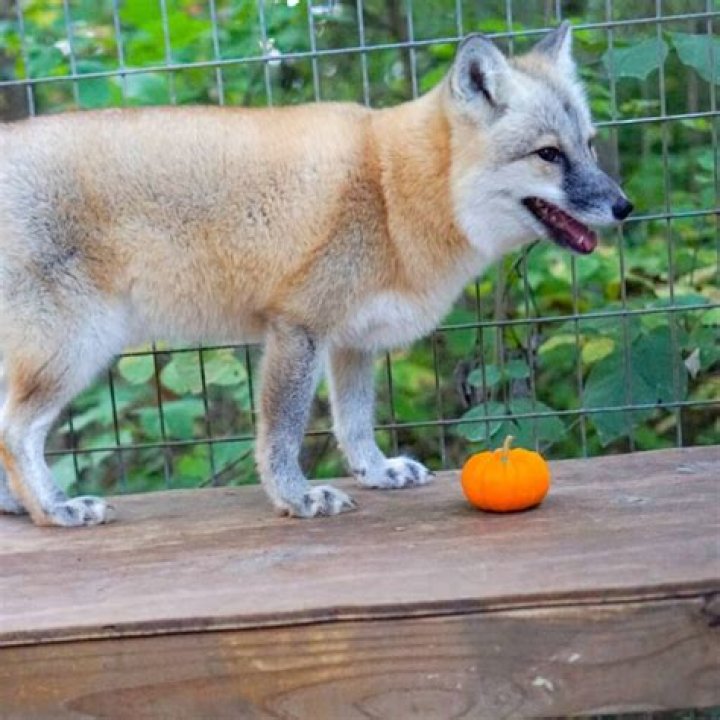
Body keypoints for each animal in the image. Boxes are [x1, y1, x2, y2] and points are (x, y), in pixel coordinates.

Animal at [0, 22, 632, 527]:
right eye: (548, 155)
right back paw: (53, 508)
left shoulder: (352, 341)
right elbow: (282, 434)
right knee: (15, 432)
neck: (391, 190)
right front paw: (296, 498)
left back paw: (18, 504)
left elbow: (354, 423)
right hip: (77, 348)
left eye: (588, 146)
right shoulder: (297, 328)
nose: (624, 207)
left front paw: (376, 472)